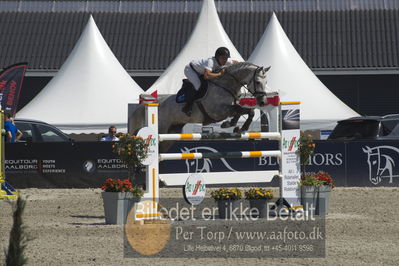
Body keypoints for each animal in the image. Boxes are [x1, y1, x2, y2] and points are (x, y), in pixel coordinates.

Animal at [130, 62, 276, 149]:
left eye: (266, 82)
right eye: (258, 82)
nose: (263, 102)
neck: (226, 85)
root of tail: (152, 104)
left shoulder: (228, 109)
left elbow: (244, 111)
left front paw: (234, 126)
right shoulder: (219, 111)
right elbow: (243, 110)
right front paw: (239, 127)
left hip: (172, 133)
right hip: (162, 129)